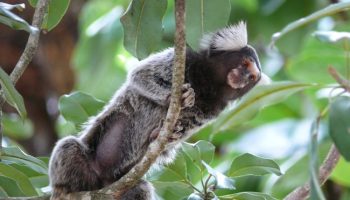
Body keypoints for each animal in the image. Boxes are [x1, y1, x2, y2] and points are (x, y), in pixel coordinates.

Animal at [48, 21, 262, 199]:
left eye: (252, 76)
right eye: (244, 64)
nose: (245, 77)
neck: (208, 83)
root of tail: (102, 183)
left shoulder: (215, 108)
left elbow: (184, 130)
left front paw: (162, 134)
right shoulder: (183, 58)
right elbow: (141, 75)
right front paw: (174, 98)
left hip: (121, 184)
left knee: (141, 188)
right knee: (68, 146)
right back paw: (64, 190)